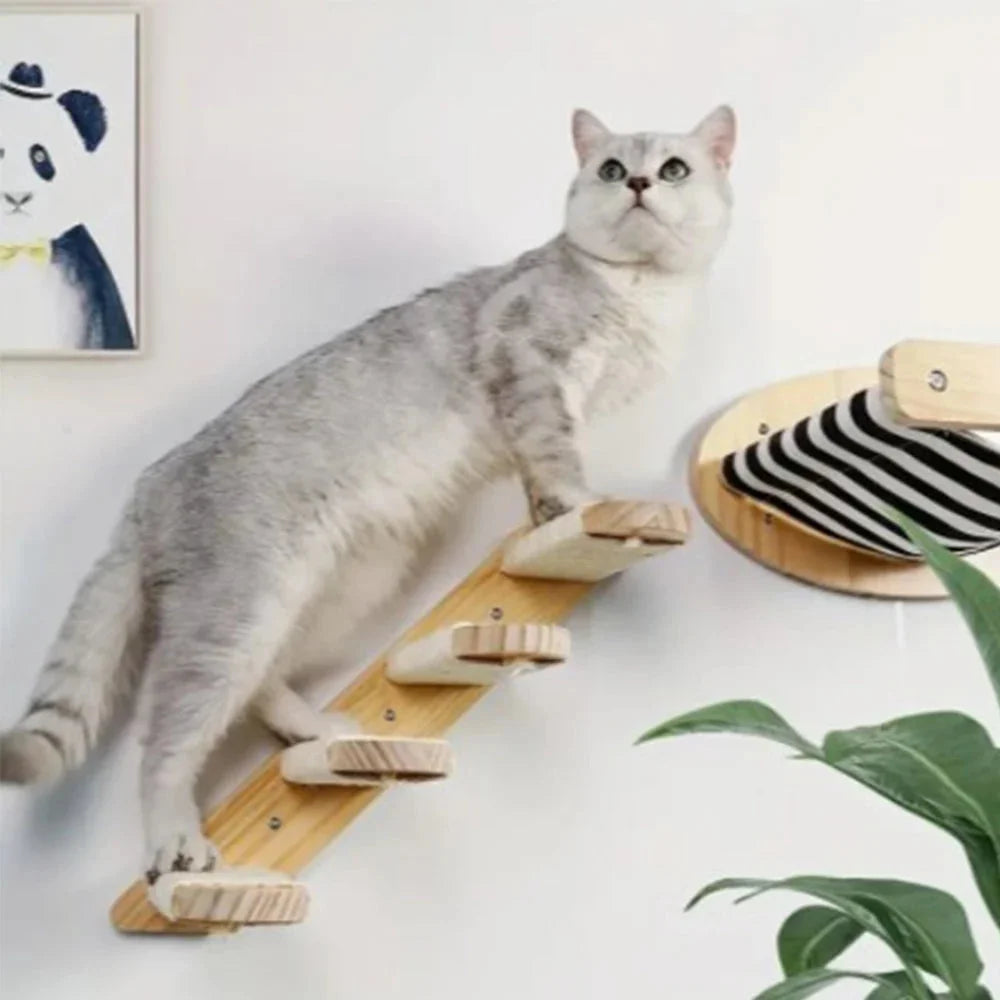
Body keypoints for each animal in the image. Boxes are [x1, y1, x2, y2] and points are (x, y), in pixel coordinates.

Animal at [0, 105, 736, 880]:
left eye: (675, 168)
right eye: (611, 169)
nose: (640, 184)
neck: (642, 290)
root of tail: (150, 486)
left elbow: (538, 472)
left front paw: (546, 516)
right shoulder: (530, 363)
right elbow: (555, 453)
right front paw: (581, 506)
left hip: (342, 584)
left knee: (262, 682)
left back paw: (311, 726)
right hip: (238, 606)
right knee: (165, 740)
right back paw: (174, 840)